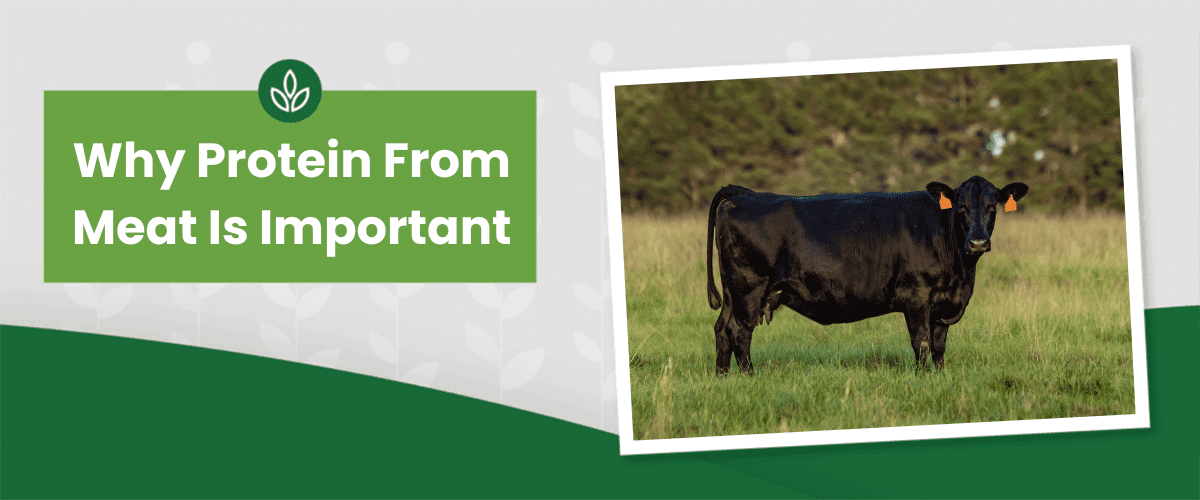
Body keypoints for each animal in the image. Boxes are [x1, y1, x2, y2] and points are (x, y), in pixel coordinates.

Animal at [705, 176, 1029, 375]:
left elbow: (939, 347)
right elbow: (922, 343)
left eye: (992, 206)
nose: (978, 242)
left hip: (733, 292)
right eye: (960, 206)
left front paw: (939, 376)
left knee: (722, 329)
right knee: (739, 332)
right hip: (749, 288)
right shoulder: (916, 296)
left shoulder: (943, 303)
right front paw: (922, 377)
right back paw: (749, 376)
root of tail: (748, 195)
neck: (961, 273)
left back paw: (722, 377)